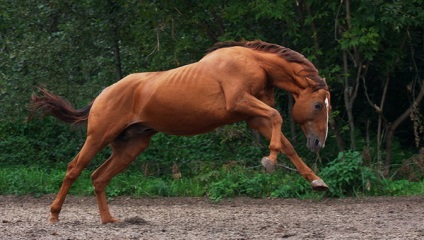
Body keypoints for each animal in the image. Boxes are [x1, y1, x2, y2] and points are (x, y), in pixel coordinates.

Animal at [31, 40, 332, 224]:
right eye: (318, 105)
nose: (319, 142)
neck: (256, 63)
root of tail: (103, 93)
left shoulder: (253, 117)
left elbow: (285, 141)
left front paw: (316, 181)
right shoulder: (240, 102)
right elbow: (278, 117)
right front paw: (269, 161)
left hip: (130, 146)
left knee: (98, 177)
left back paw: (109, 220)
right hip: (98, 137)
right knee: (75, 168)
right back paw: (54, 215)